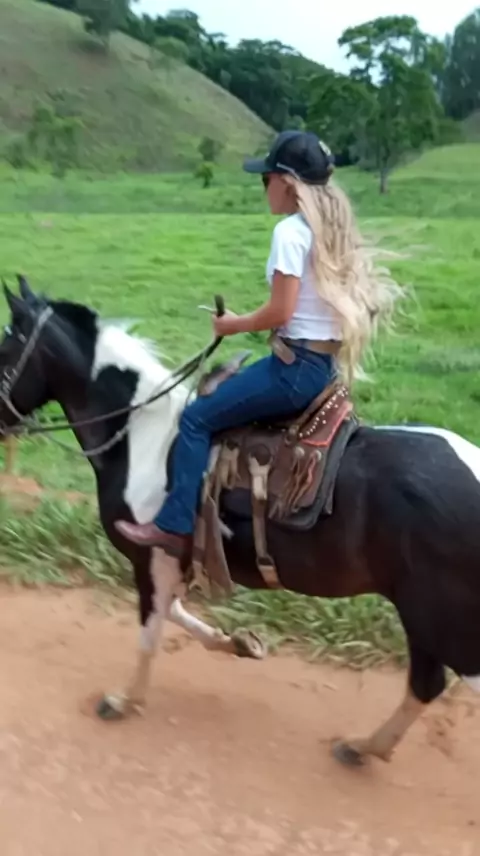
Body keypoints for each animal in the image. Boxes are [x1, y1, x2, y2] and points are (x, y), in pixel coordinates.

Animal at [1, 277, 480, 769]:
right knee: (425, 684)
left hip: (443, 618)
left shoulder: (151, 556)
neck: (140, 438)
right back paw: (363, 747)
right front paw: (237, 643)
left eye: (5, 347)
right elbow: (174, 613)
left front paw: (123, 700)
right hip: (423, 615)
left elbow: (151, 629)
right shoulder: (174, 561)